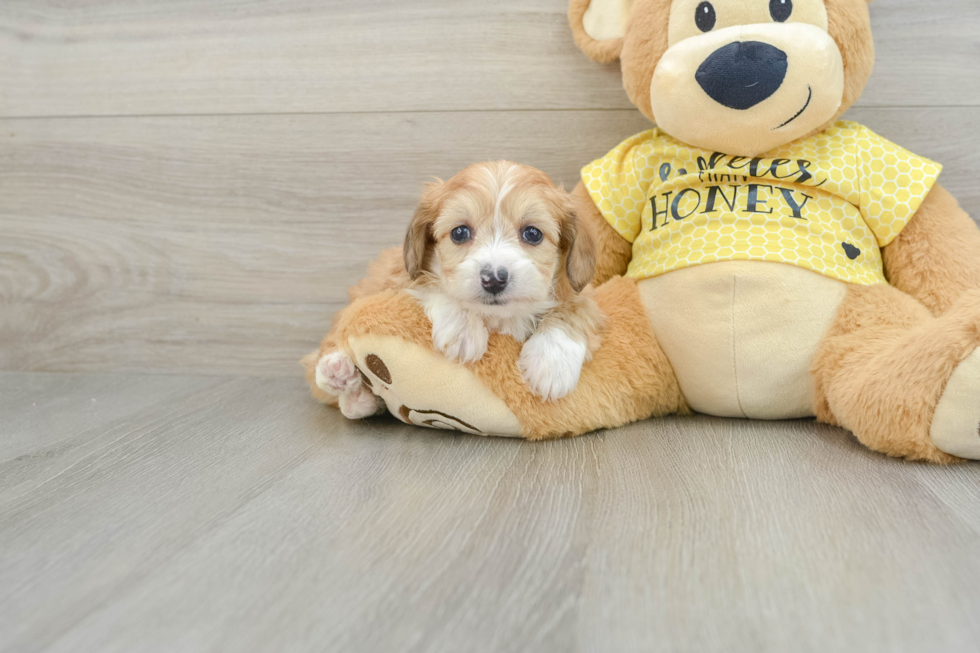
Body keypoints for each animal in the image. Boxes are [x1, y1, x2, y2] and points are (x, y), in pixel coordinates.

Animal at [314, 160, 604, 416]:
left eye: (532, 234)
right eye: (460, 232)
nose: (494, 279)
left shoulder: (581, 291)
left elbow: (573, 310)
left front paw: (551, 364)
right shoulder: (403, 278)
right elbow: (434, 287)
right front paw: (463, 328)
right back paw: (338, 374)